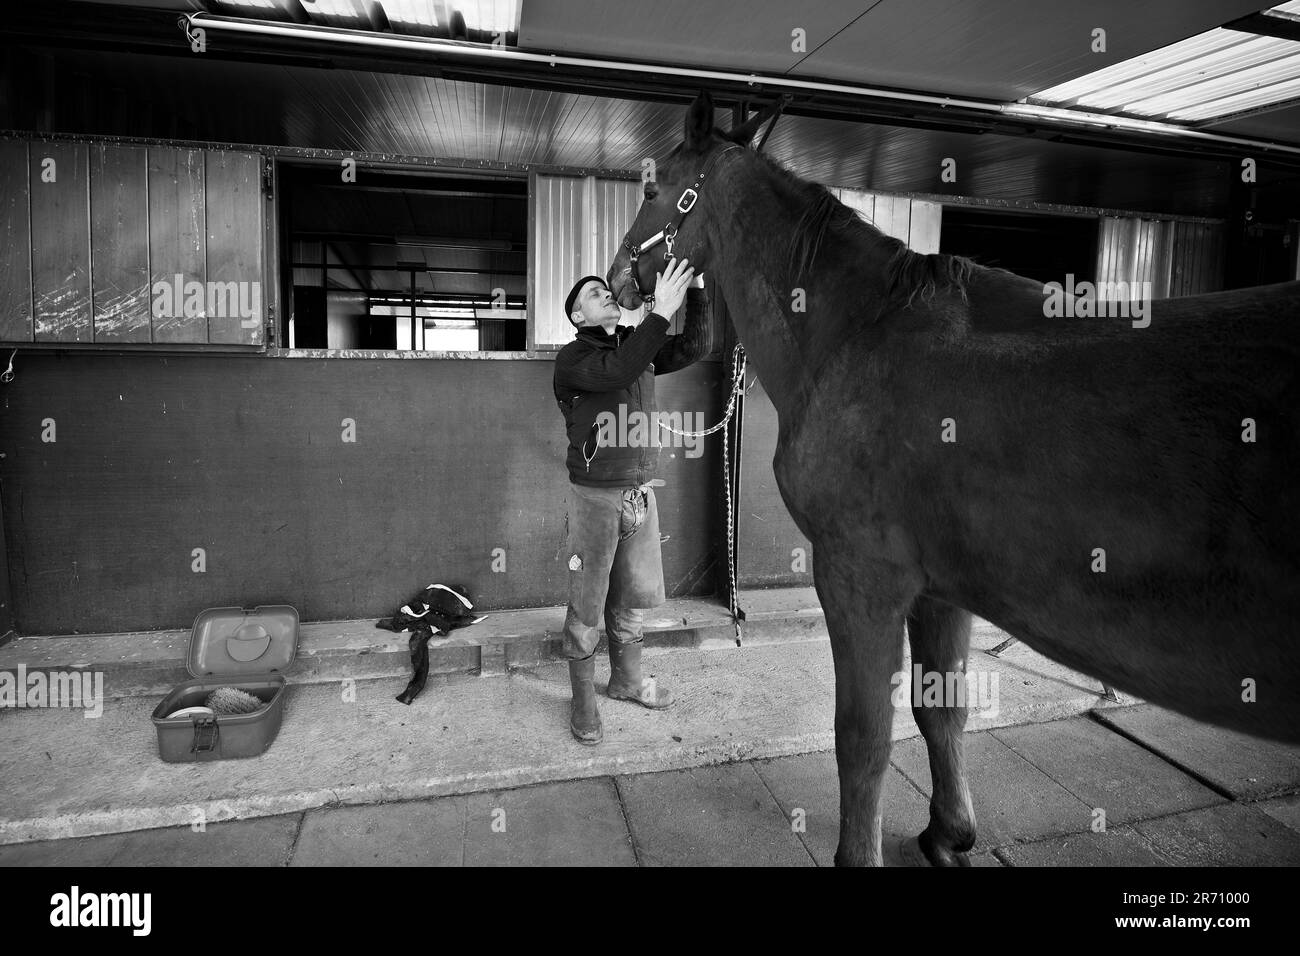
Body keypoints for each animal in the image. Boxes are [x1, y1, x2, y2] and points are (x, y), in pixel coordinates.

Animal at [605, 91, 1300, 868]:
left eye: (654, 190)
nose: (617, 277)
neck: (859, 334)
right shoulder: (945, 588)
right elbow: (942, 709)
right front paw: (950, 831)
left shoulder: (861, 580)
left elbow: (863, 737)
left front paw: (860, 854)